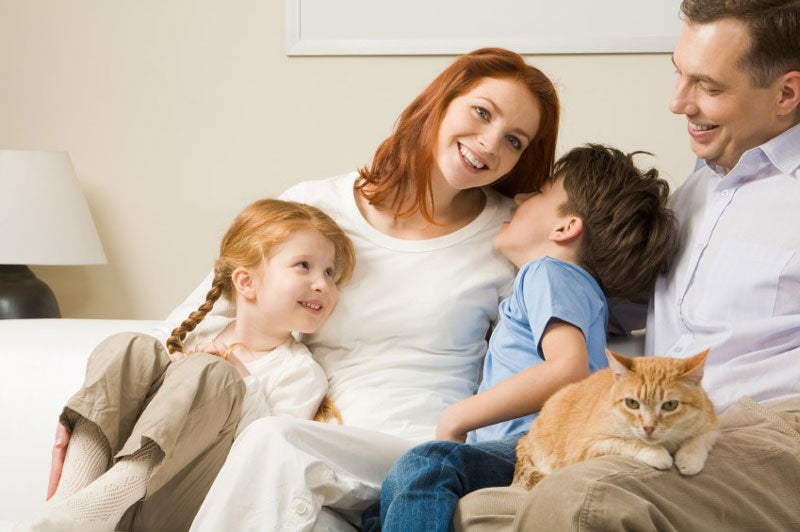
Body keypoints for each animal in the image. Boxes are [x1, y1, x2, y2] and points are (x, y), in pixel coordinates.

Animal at [512, 350, 720, 490]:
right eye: (632, 403)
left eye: (670, 405)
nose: (648, 427)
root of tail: (525, 438)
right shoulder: (587, 446)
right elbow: (627, 442)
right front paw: (657, 453)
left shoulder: (712, 425)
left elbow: (701, 440)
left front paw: (689, 459)